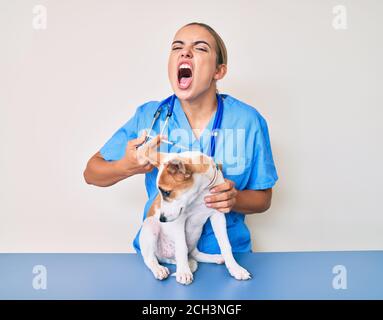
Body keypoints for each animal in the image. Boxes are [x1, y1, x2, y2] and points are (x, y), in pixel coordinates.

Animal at [137, 141, 252, 286]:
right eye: (162, 192)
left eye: (167, 192)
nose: (162, 219)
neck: (201, 192)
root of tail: (167, 257)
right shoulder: (179, 220)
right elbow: (181, 247)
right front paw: (184, 273)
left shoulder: (218, 215)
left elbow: (225, 244)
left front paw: (235, 268)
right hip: (150, 227)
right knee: (150, 258)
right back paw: (159, 269)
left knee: (193, 253)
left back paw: (215, 258)